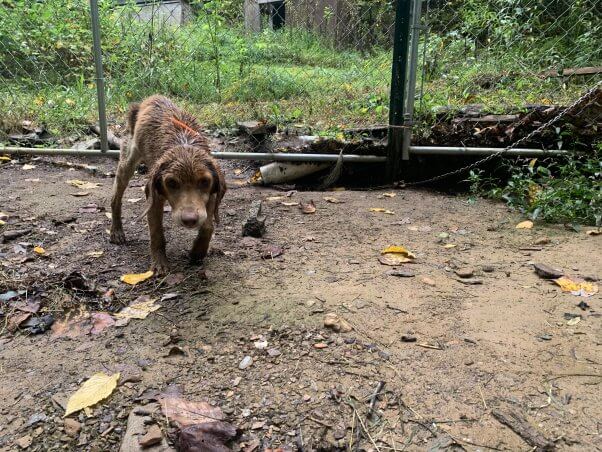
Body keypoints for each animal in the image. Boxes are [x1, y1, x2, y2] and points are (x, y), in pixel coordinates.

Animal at [108, 94, 225, 276]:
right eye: (171, 182)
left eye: (205, 182)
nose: (190, 220)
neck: (184, 144)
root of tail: (149, 99)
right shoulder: (154, 199)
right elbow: (156, 233)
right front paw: (160, 263)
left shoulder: (212, 195)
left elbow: (208, 226)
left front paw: (198, 252)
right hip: (127, 164)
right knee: (116, 198)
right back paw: (116, 231)